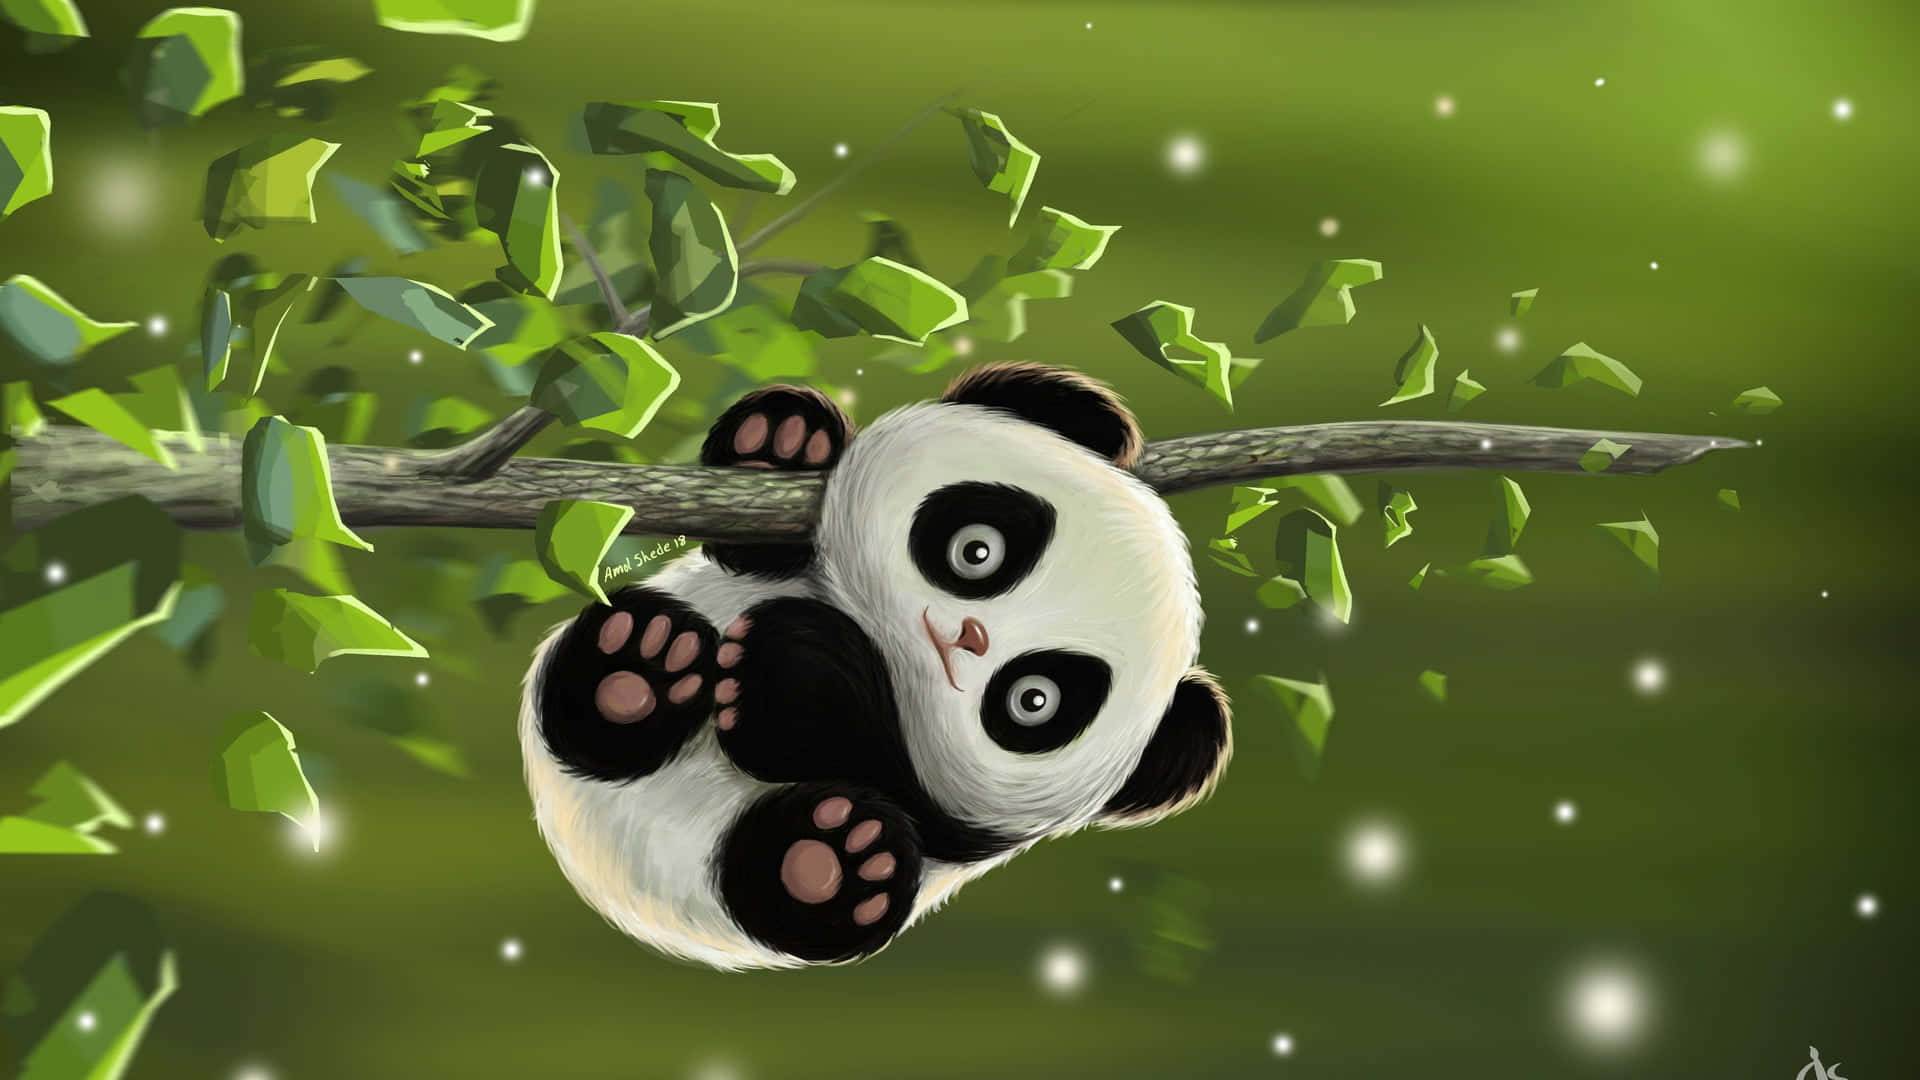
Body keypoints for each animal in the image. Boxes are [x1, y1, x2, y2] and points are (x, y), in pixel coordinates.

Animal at [518, 362, 1232, 970]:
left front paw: (784, 669)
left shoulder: (959, 819)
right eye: (978, 550)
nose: (968, 639)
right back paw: (640, 665)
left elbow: (894, 777)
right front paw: (781, 440)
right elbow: (753, 546)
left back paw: (832, 859)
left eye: (1034, 699)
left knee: (804, 886)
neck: (879, 641)